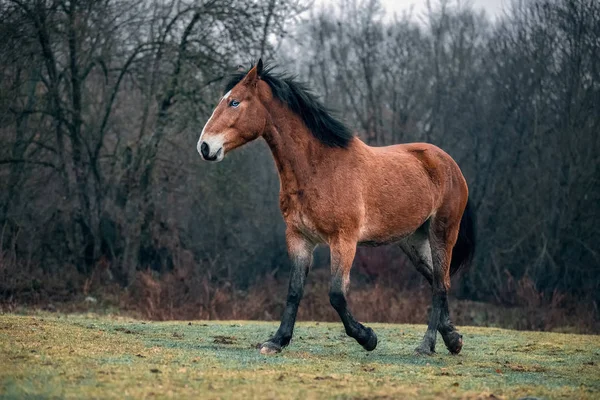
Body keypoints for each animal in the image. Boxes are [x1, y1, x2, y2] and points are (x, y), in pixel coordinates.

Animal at [197, 57, 474, 354]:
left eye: (234, 102)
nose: (205, 146)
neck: (319, 168)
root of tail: (450, 164)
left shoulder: (343, 241)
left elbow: (336, 295)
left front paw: (367, 337)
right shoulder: (299, 238)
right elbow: (294, 291)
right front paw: (277, 341)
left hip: (442, 233)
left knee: (440, 285)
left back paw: (427, 344)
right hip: (413, 240)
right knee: (438, 279)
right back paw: (453, 338)